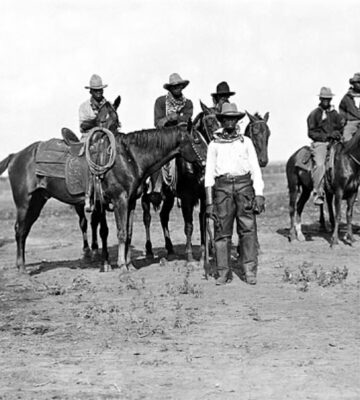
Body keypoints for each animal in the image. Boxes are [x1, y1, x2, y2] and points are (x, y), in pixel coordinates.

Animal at [0, 104, 207, 274]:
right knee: (19, 230)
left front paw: (129, 264)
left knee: (25, 230)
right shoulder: (119, 200)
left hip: (37, 201)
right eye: (197, 141)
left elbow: (128, 232)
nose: (207, 162)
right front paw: (122, 266)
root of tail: (15, 155)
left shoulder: (131, 202)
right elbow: (120, 232)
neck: (129, 157)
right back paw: (21, 269)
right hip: (24, 203)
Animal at [141, 101, 270, 266]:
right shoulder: (187, 198)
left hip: (169, 197)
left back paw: (170, 250)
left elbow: (204, 221)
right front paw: (190, 256)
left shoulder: (204, 197)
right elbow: (189, 226)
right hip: (146, 196)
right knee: (147, 217)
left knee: (164, 216)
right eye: (209, 122)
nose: (263, 161)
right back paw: (149, 251)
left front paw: (204, 254)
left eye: (268, 134)